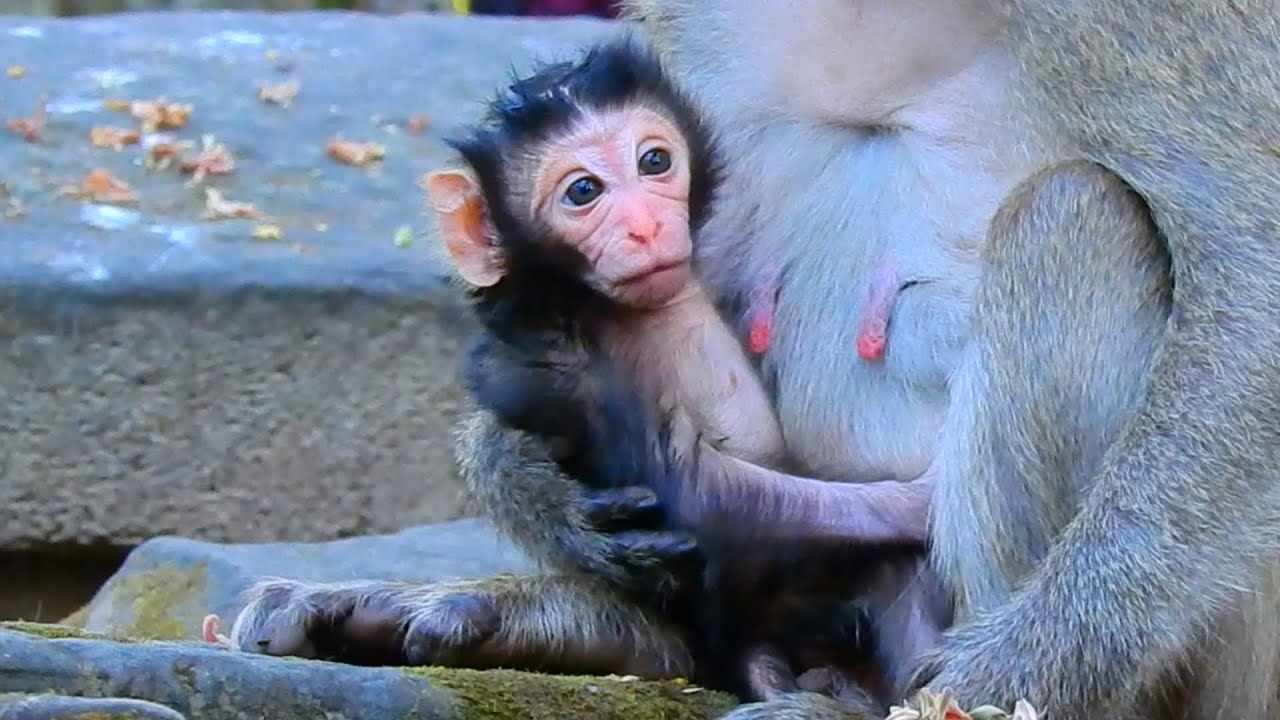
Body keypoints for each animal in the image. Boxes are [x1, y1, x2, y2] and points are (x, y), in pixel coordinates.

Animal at [226, 1, 1280, 719]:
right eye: (586, 189)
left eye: (649, 166)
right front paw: (539, 489)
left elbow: (1253, 274)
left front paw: (1019, 671)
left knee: (1072, 214)